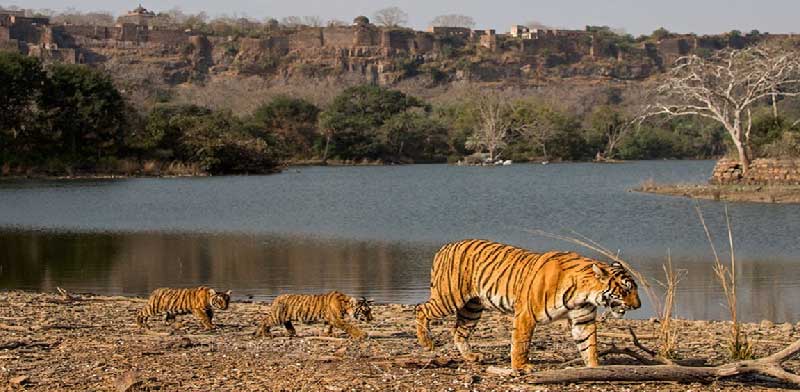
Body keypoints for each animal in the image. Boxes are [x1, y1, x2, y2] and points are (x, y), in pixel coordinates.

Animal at [416, 239, 640, 370]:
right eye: (626, 289)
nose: (638, 306)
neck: (584, 294)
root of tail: (444, 247)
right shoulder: (526, 314)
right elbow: (521, 343)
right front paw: (521, 367)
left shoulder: (582, 320)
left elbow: (589, 345)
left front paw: (595, 368)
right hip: (449, 298)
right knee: (420, 308)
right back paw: (426, 343)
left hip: (472, 308)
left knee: (458, 332)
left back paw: (471, 357)